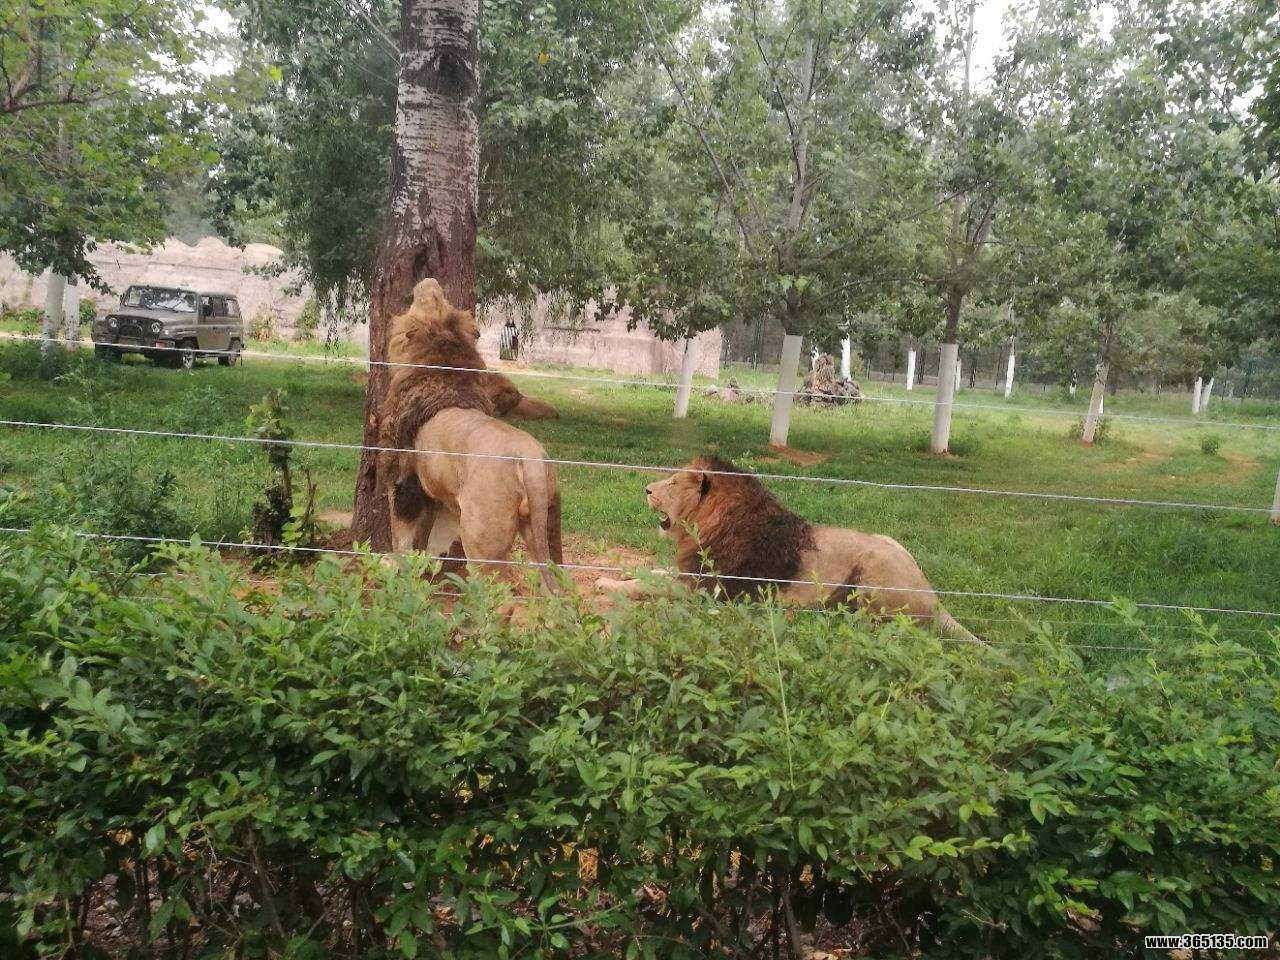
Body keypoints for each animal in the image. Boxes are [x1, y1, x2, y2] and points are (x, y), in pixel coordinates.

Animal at [382, 278, 563, 589]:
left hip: (483, 540)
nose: (429, 280)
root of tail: (531, 461)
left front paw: (396, 569)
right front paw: (425, 571)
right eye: (442, 298)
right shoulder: (450, 502)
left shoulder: (405, 479)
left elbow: (401, 535)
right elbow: (436, 542)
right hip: (547, 526)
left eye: (430, 300)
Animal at [595, 454, 980, 642]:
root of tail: (933, 596)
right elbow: (653, 571)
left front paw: (607, 584)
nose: (646, 489)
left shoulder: (703, 589)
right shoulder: (690, 571)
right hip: (890, 541)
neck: (710, 523)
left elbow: (647, 585)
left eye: (674, 483)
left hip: (873, 573)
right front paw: (619, 571)